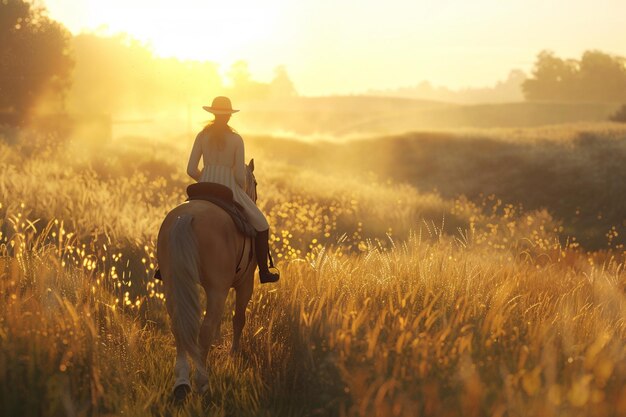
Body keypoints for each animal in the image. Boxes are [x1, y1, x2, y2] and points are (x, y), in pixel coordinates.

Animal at [156, 158, 258, 400]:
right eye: (255, 183)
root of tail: (186, 217)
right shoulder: (245, 283)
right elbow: (238, 319)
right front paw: (233, 355)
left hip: (174, 284)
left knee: (179, 326)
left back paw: (182, 382)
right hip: (217, 290)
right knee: (205, 328)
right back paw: (201, 381)